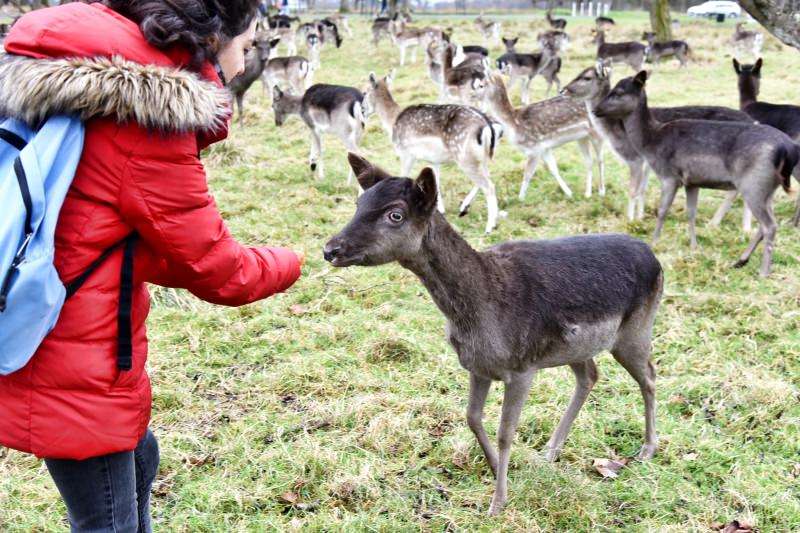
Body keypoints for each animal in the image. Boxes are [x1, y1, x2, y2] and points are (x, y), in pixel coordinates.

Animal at [322, 153, 664, 516]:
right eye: (359, 203)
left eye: (395, 214)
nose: (331, 249)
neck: (478, 314)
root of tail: (655, 258)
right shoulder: (477, 366)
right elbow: (472, 418)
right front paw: (497, 468)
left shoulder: (523, 368)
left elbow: (505, 432)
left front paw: (498, 502)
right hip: (578, 347)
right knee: (590, 375)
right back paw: (551, 450)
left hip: (636, 329)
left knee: (649, 376)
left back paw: (647, 448)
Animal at [360, 72, 500, 233]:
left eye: (364, 92)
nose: (362, 111)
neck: (393, 120)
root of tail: (487, 126)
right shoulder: (433, 160)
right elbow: (436, 183)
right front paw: (440, 210)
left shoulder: (406, 152)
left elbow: (403, 175)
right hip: (481, 157)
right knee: (486, 178)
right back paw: (465, 207)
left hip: (465, 157)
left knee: (489, 186)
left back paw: (490, 225)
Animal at [564, 62, 756, 220]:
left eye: (586, 77)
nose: (563, 90)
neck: (614, 130)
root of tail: (754, 121)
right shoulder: (646, 161)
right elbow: (642, 189)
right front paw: (640, 217)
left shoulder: (635, 158)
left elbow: (633, 190)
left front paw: (629, 220)